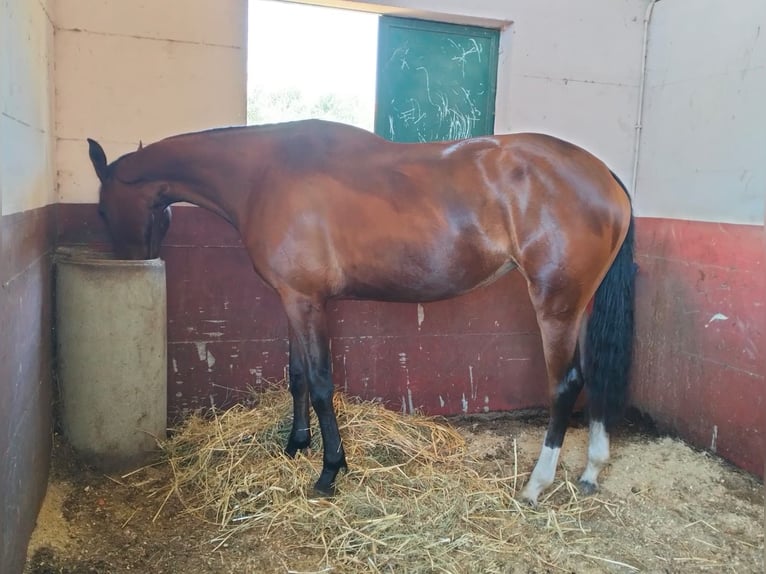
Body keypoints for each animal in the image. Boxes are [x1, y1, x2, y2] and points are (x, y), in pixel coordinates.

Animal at [87, 119, 635, 506]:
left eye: (100, 210)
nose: (133, 265)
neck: (263, 174)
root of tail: (604, 175)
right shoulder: (294, 299)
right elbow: (297, 376)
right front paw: (295, 445)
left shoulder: (306, 302)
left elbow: (321, 383)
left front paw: (330, 470)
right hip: (580, 306)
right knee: (595, 375)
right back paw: (591, 470)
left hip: (556, 304)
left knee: (565, 384)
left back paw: (536, 484)